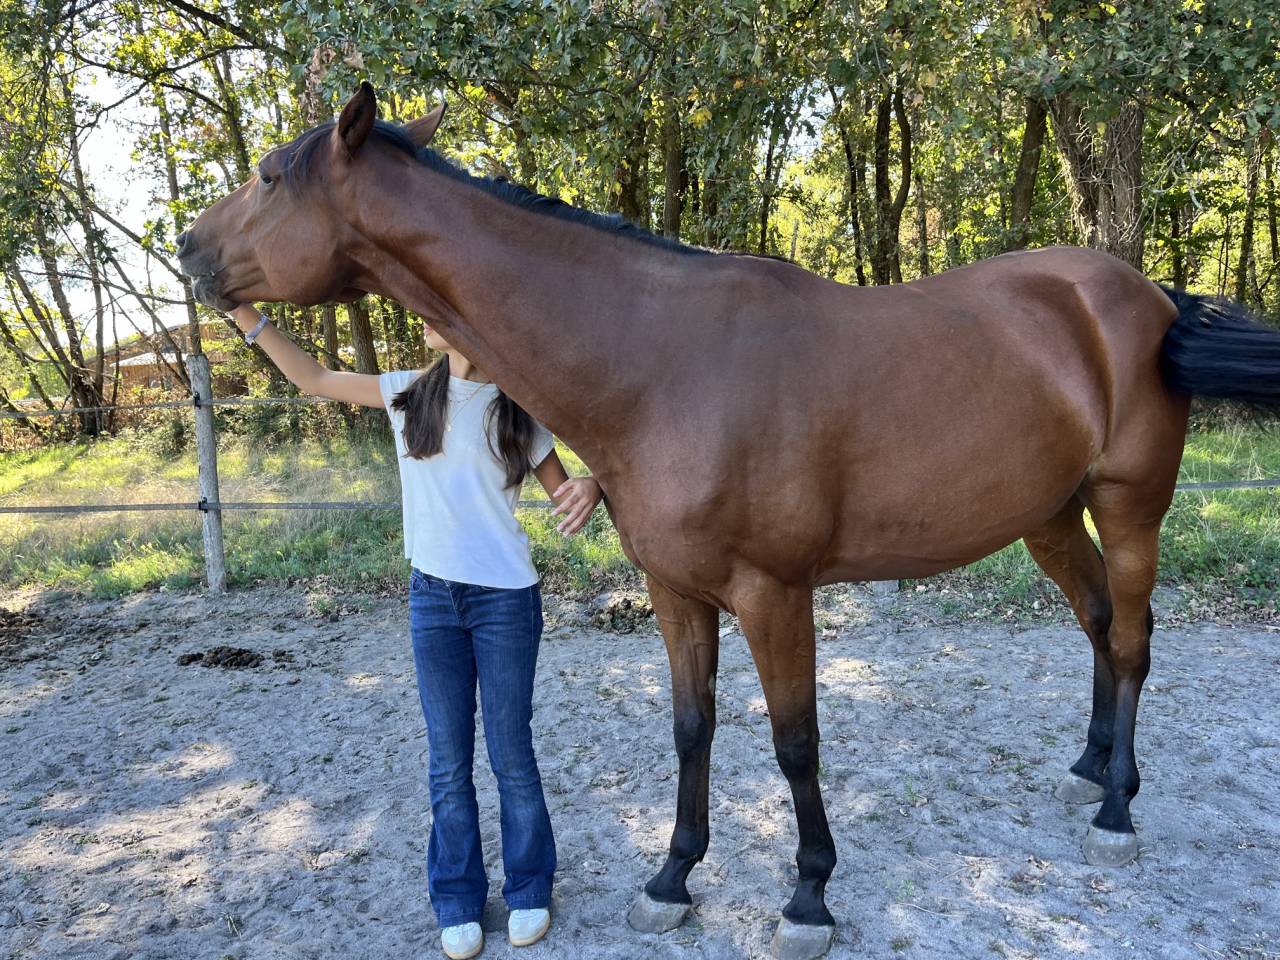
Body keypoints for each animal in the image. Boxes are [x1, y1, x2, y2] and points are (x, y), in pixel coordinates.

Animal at [176, 83, 1280, 960]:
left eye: (270, 175)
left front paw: (806, 897)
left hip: (1128, 508)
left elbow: (794, 742)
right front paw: (672, 878)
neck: (658, 364)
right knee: (1094, 621)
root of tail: (1140, 296)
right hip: (1047, 516)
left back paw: (1116, 805)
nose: (187, 248)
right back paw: (1088, 766)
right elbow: (691, 726)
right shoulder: (676, 590)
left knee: (1130, 638)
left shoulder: (771, 595)